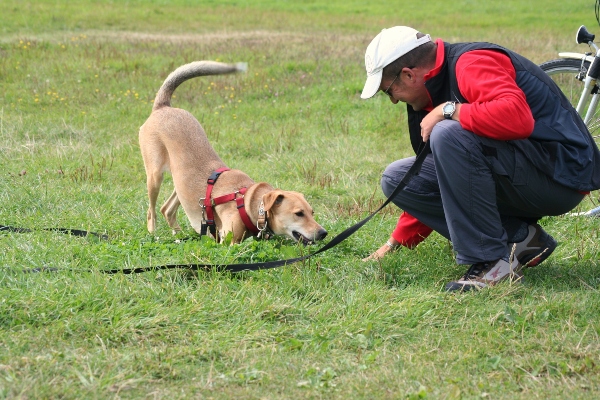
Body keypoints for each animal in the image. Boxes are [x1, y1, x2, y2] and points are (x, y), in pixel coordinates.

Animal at [138, 61, 328, 244]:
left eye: (312, 212)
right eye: (299, 213)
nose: (323, 233)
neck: (247, 203)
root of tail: (163, 107)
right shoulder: (228, 242)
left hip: (181, 184)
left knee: (167, 209)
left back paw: (179, 235)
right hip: (154, 176)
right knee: (151, 212)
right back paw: (154, 234)